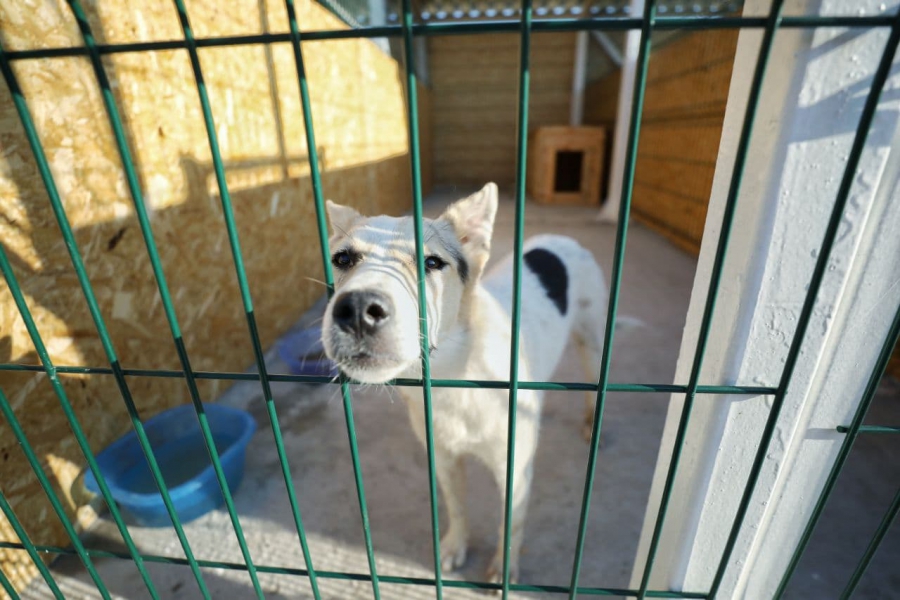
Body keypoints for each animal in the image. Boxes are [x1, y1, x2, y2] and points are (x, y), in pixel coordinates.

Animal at [322, 182, 609, 584]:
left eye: (432, 263)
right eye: (343, 258)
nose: (359, 310)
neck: (457, 379)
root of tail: (565, 238)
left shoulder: (515, 471)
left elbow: (511, 524)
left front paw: (504, 569)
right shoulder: (444, 459)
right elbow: (457, 509)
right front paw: (455, 547)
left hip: (592, 343)